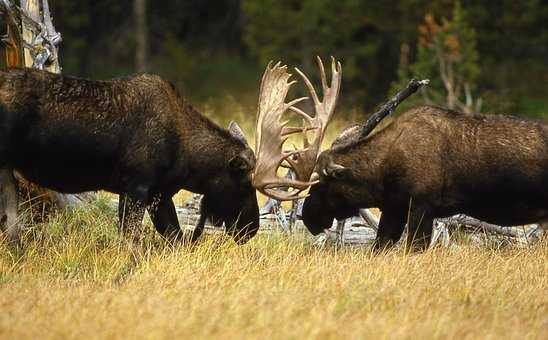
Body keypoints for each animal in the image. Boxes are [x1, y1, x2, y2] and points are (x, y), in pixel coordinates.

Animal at [0, 67, 260, 243]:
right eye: (245, 185)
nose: (252, 229)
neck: (188, 161)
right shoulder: (136, 187)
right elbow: (132, 240)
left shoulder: (158, 193)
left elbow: (174, 237)